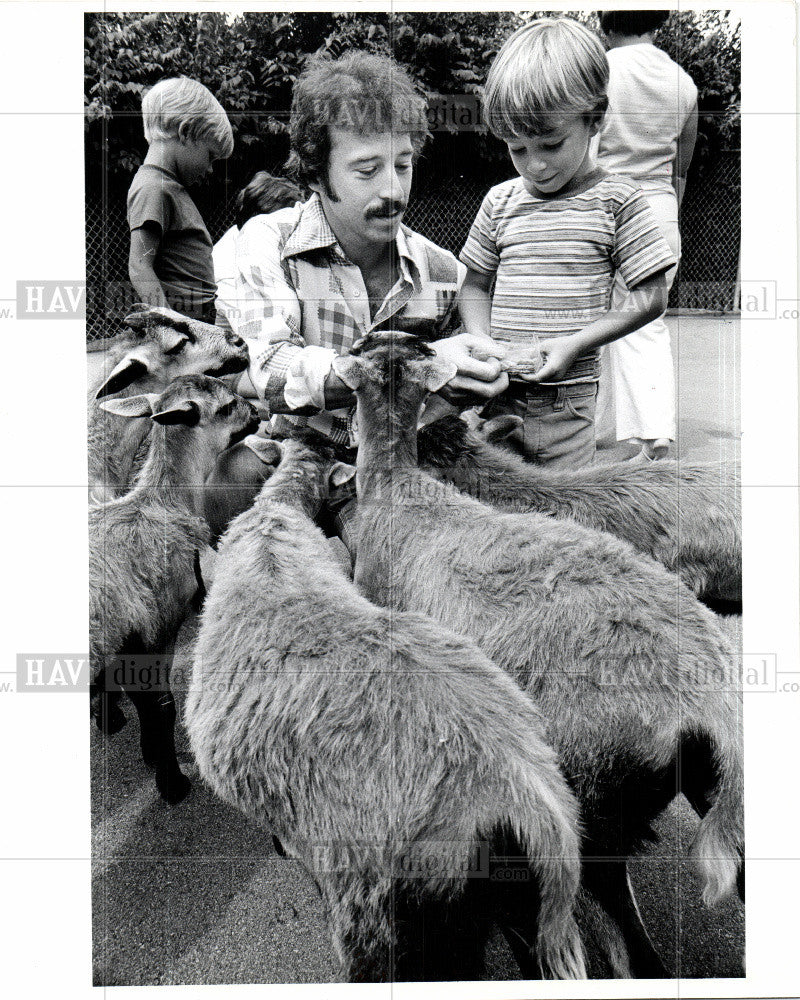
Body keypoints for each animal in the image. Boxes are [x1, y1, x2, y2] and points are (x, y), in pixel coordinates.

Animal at [90, 372, 260, 800]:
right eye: (227, 406)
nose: (257, 412)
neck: (162, 504)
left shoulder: (130, 635)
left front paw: (151, 754)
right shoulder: (158, 624)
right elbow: (161, 704)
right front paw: (171, 781)